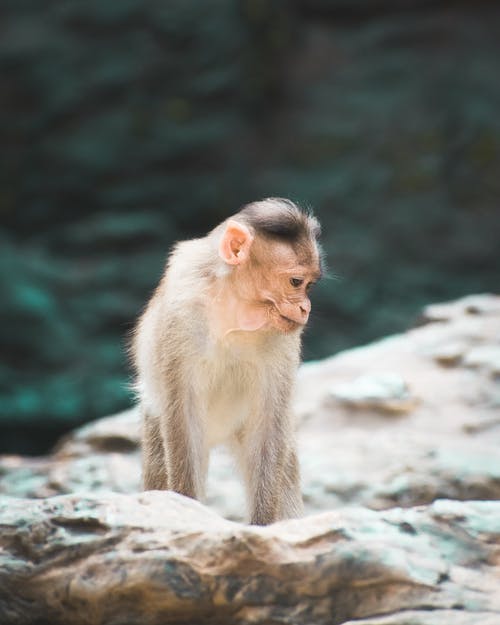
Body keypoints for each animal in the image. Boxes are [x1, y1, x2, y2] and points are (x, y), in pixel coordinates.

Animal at [131, 197, 322, 524]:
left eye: (309, 285)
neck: (234, 309)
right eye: (296, 282)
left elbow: (270, 424)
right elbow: (182, 418)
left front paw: (262, 526)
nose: (305, 308)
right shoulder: (180, 314)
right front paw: (186, 508)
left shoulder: (283, 339)